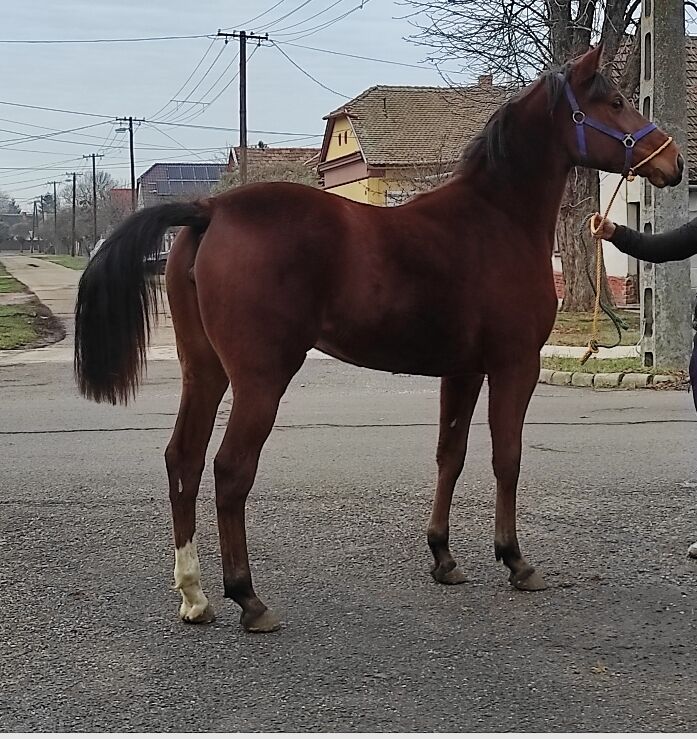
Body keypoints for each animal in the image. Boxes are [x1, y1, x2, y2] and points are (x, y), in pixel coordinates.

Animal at [74, 44, 683, 633]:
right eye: (614, 101)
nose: (672, 161)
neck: (496, 219)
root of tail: (211, 208)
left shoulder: (463, 370)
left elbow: (450, 455)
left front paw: (443, 558)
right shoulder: (515, 366)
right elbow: (506, 458)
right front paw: (515, 560)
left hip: (204, 370)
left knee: (184, 460)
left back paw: (195, 596)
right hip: (260, 379)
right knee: (230, 470)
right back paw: (248, 598)